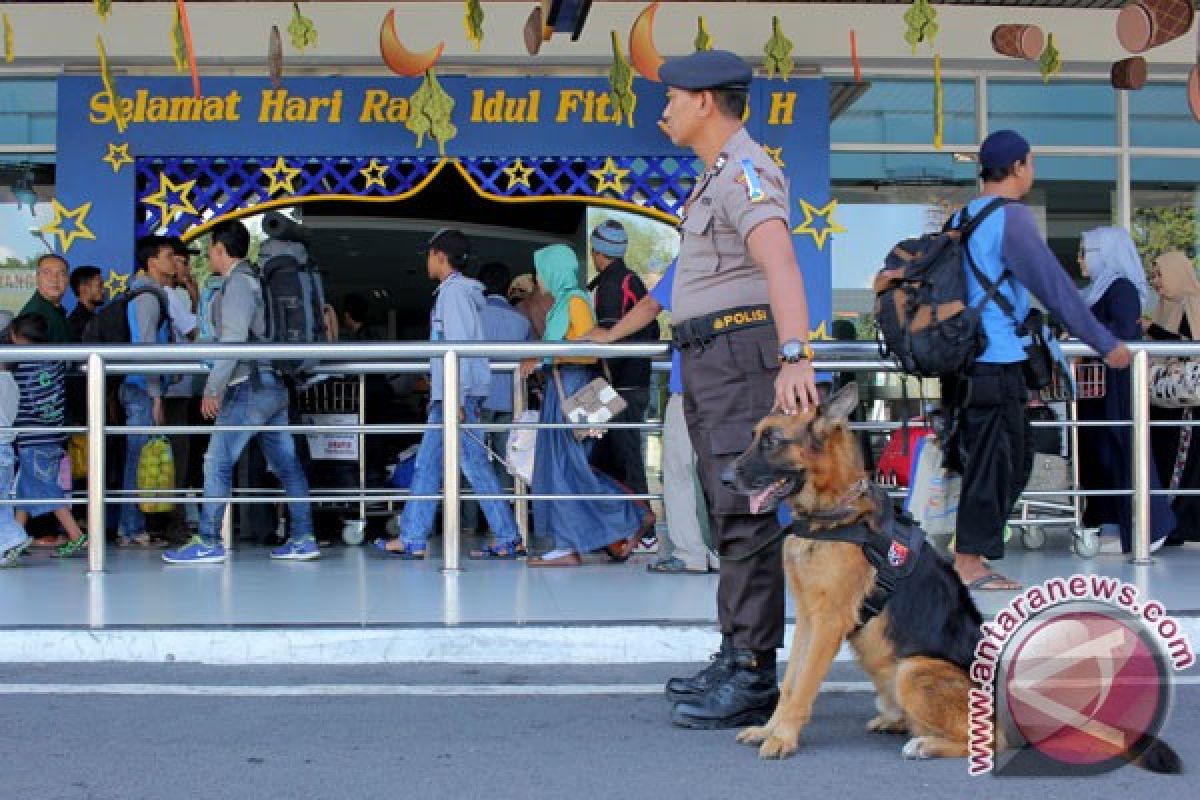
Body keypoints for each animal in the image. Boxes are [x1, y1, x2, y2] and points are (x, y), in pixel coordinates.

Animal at [720, 383, 1180, 772]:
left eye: (771, 441)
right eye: (755, 436)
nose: (724, 479)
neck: (833, 514)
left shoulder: (829, 622)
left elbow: (803, 687)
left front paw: (783, 738)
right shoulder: (807, 621)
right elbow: (789, 682)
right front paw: (770, 728)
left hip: (914, 671)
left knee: (992, 741)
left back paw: (926, 744)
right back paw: (898, 724)